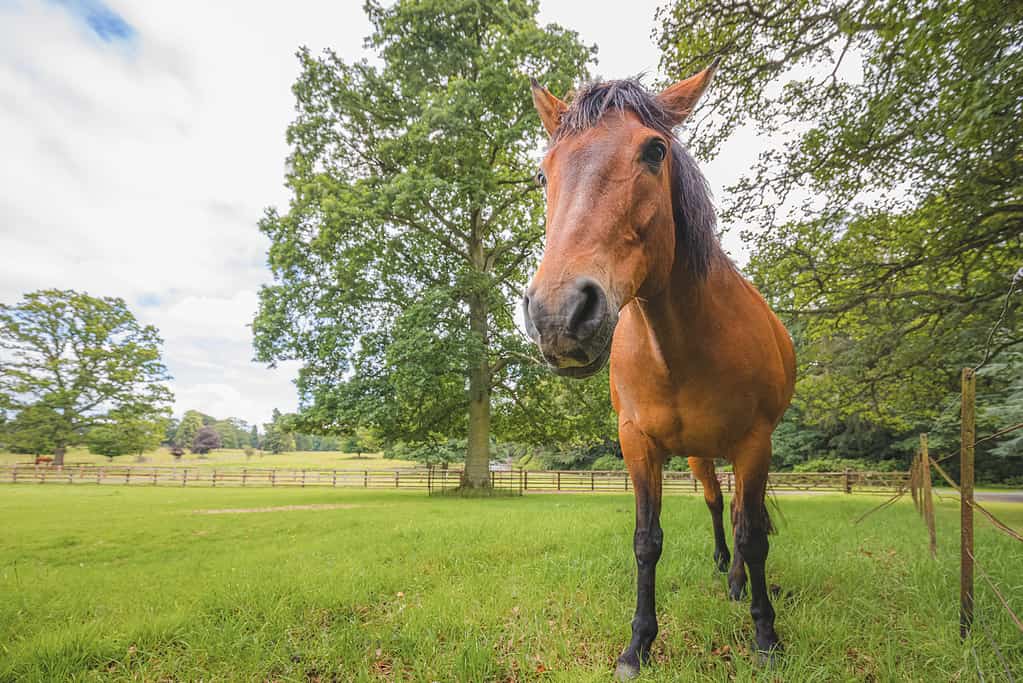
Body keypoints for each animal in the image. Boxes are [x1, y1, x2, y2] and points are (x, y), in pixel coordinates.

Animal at [523, 61, 793, 678]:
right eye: (544, 173)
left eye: (653, 151)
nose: (558, 314)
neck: (683, 344)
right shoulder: (638, 444)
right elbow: (647, 540)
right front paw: (638, 645)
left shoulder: (755, 443)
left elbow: (755, 538)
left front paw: (765, 637)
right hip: (699, 455)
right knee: (720, 507)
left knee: (742, 516)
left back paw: (738, 584)